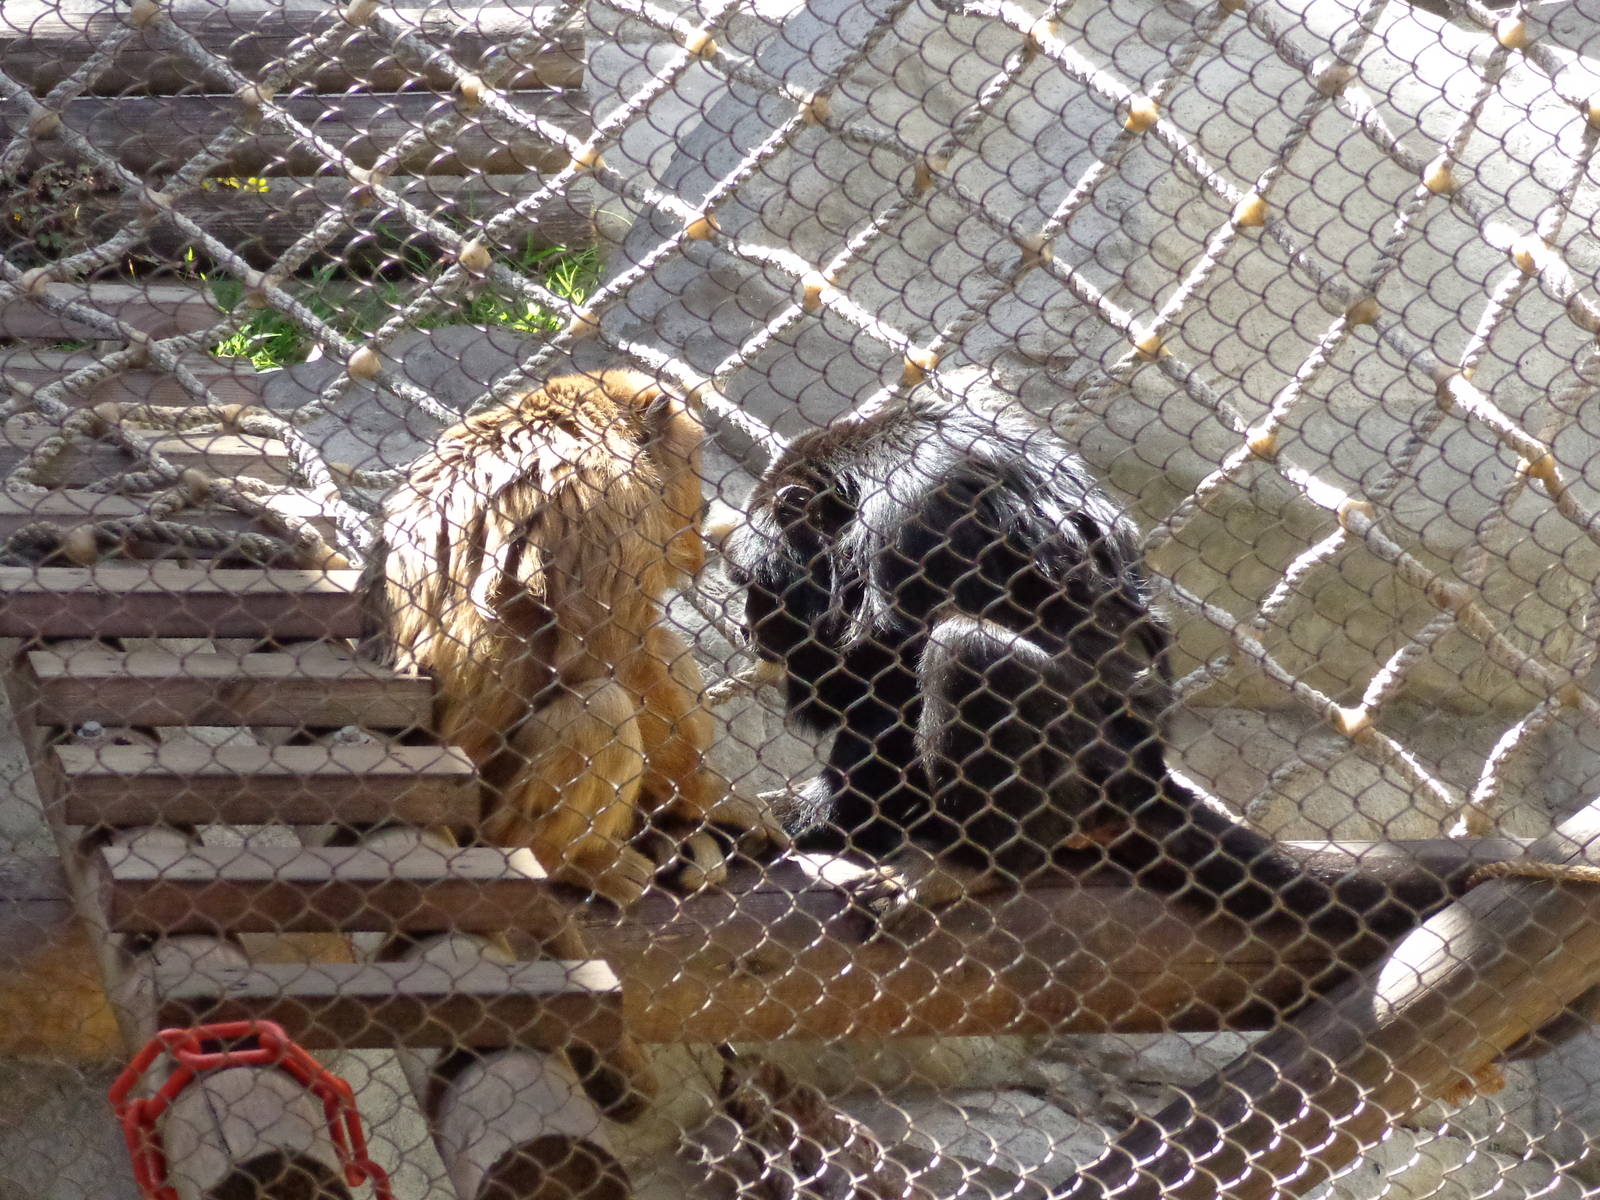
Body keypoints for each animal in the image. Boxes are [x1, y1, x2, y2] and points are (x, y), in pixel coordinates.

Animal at [367, 368, 780, 906]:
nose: (698, 513)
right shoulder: (611, 498)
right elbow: (607, 659)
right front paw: (705, 796)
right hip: (488, 817)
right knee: (603, 705)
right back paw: (571, 864)